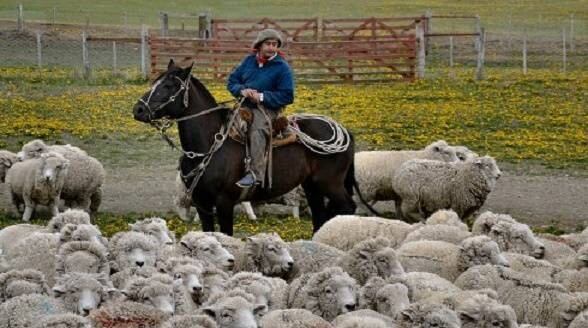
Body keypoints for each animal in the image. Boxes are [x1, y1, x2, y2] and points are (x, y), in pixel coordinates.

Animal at [132, 60, 354, 236]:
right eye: (155, 82)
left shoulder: (224, 203)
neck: (209, 145)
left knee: (348, 207)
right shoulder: (202, 204)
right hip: (312, 185)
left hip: (330, 183)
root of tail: (344, 130)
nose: (138, 109)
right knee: (320, 214)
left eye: (168, 86)